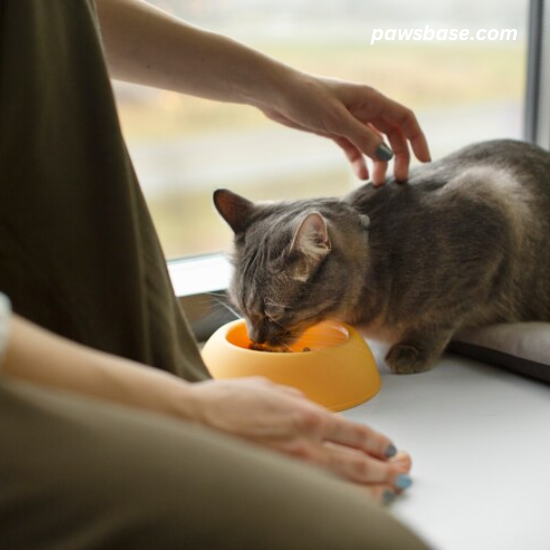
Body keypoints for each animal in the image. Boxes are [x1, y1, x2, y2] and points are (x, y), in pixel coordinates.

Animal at [215, 140, 550, 378]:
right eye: (241, 309)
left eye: (272, 314)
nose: (255, 338)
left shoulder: (491, 208)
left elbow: (442, 316)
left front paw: (413, 349)